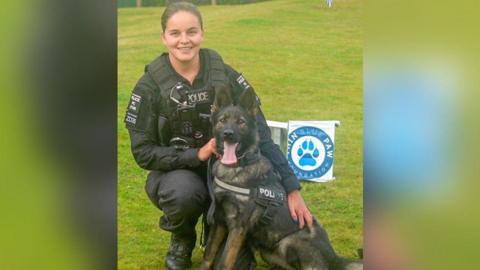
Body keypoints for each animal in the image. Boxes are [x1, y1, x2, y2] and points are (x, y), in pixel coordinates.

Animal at [201, 87, 362, 270]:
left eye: (241, 122)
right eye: (222, 120)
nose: (228, 134)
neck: (235, 168)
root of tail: (334, 257)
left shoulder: (237, 228)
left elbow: (224, 262)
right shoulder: (219, 221)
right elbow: (208, 255)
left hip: (289, 242)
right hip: (269, 253)